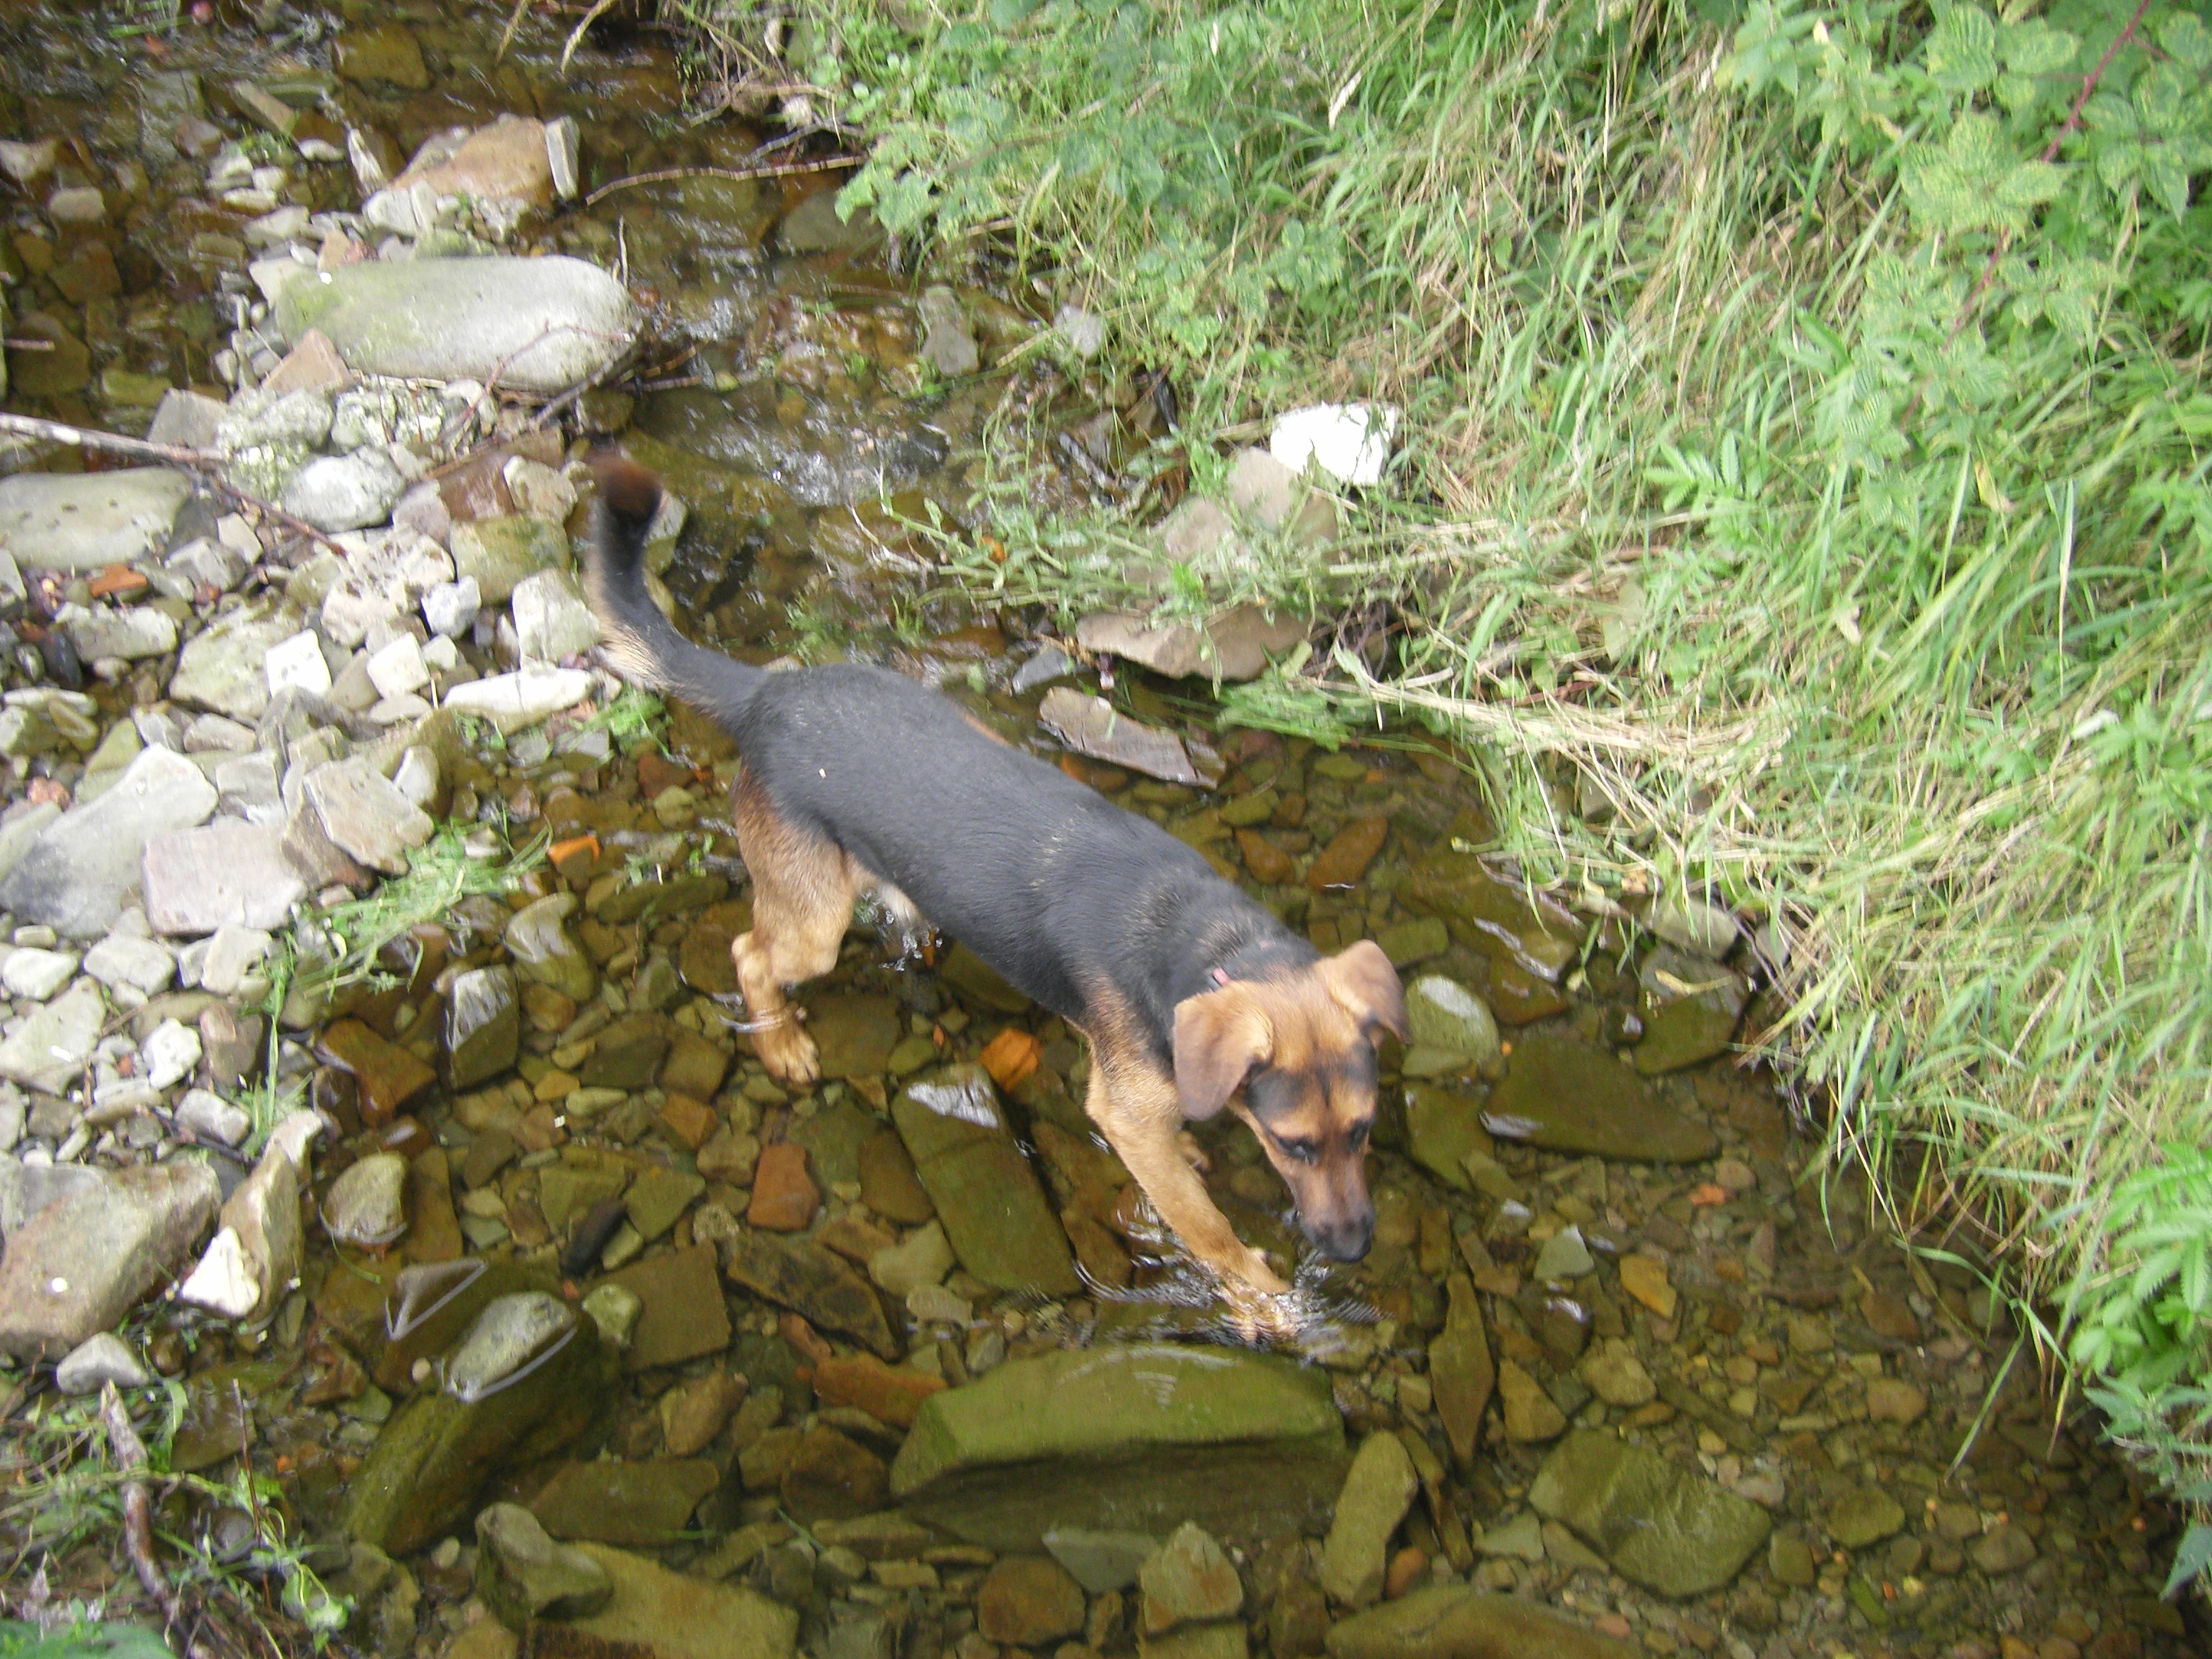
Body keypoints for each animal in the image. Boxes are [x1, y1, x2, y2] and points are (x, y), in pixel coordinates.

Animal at [579, 455, 1406, 1327]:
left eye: (1364, 1131)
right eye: (1291, 1145)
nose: (1355, 1250)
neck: (1209, 945)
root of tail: (765, 696)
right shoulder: (1125, 1116)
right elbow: (1204, 1227)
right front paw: (1263, 1302)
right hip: (815, 921)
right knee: (750, 952)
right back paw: (782, 1044)